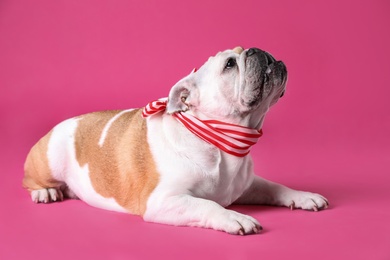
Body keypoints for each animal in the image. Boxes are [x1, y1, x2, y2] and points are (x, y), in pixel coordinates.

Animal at [24, 46, 328, 236]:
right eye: (229, 64)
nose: (259, 51)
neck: (221, 139)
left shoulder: (248, 185)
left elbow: (275, 187)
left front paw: (303, 196)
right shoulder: (164, 201)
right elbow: (208, 205)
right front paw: (235, 217)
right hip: (48, 160)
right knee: (31, 180)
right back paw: (45, 192)